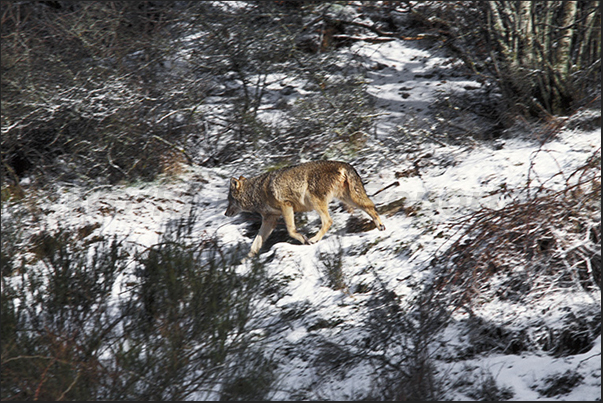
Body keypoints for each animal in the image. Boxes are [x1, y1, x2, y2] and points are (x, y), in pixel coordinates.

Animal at [224, 160, 384, 258]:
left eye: (229, 200)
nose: (225, 213)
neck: (256, 192)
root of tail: (344, 164)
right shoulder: (270, 220)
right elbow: (254, 245)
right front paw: (245, 262)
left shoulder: (286, 206)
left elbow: (291, 230)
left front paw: (304, 240)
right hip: (349, 199)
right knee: (371, 207)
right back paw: (381, 227)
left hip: (316, 202)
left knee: (328, 221)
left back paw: (313, 239)